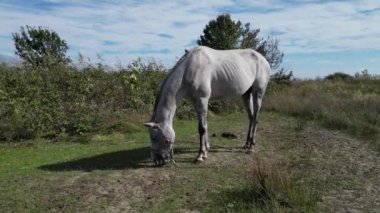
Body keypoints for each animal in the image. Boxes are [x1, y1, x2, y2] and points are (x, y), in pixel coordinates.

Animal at [144, 46, 272, 166]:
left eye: (155, 137)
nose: (158, 161)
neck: (189, 69)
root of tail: (263, 59)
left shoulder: (202, 99)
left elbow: (201, 128)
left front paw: (200, 156)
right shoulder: (196, 102)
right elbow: (205, 125)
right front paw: (206, 150)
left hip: (258, 93)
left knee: (255, 118)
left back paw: (251, 147)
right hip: (246, 94)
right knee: (251, 117)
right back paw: (246, 144)